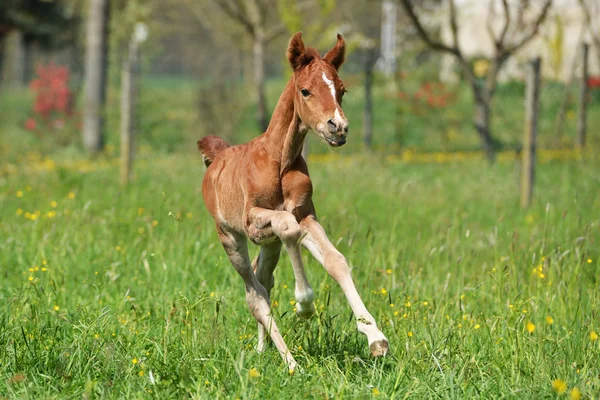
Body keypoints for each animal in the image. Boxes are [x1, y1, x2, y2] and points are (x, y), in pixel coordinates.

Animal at [199, 32, 390, 372]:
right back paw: (291, 364)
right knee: (255, 294)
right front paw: (304, 304)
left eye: (342, 90)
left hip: (270, 246)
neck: (279, 160)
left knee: (264, 279)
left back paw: (263, 350)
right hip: (231, 238)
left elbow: (336, 261)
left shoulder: (307, 216)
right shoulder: (254, 223)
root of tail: (217, 156)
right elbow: (287, 227)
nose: (338, 127)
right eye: (306, 90)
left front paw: (375, 338)